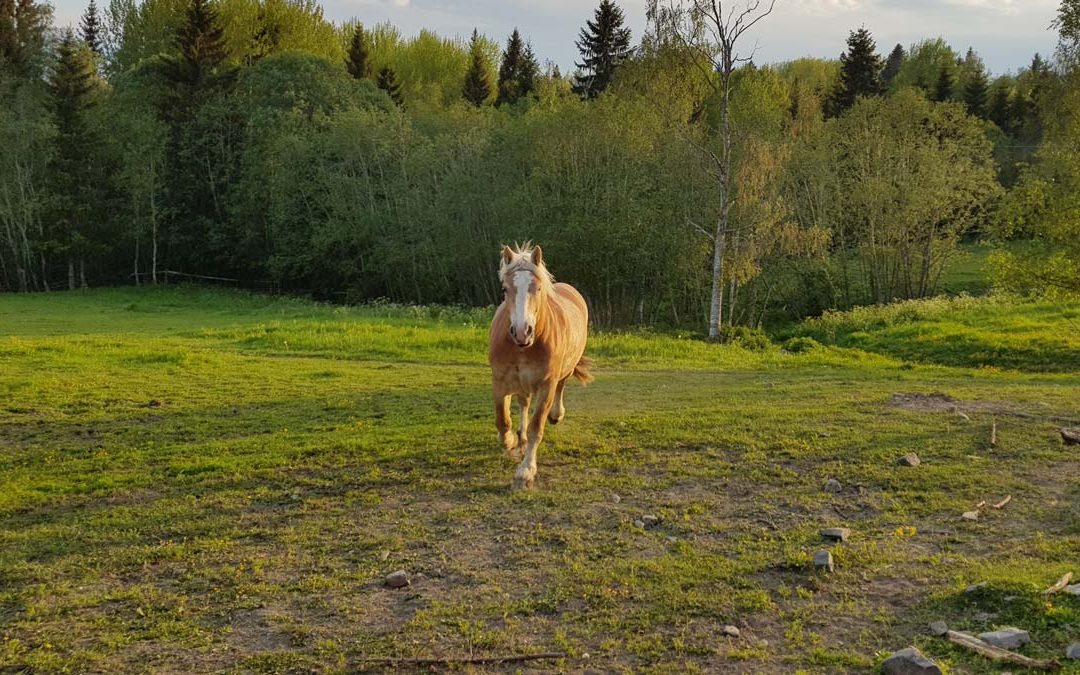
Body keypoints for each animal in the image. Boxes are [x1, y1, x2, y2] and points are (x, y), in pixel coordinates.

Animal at [488, 243, 591, 490]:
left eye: (538, 287)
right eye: (505, 289)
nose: (522, 331)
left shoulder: (546, 387)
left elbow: (537, 428)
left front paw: (525, 471)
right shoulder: (500, 381)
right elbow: (502, 419)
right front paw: (509, 440)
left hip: (563, 371)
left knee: (561, 387)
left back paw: (556, 415)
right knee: (523, 403)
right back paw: (520, 436)